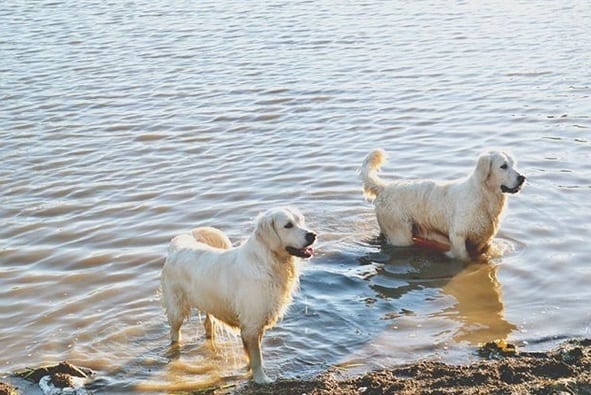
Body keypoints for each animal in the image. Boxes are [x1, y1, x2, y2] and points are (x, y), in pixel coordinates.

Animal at [160, 207, 316, 384]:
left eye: (301, 220)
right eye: (288, 225)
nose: (312, 235)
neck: (268, 262)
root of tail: (177, 244)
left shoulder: (256, 323)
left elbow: (250, 353)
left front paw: (249, 370)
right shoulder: (252, 323)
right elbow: (257, 357)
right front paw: (261, 379)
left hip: (210, 302)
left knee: (208, 324)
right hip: (177, 309)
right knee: (174, 332)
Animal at [360, 150, 528, 262]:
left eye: (514, 164)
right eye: (503, 166)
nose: (522, 178)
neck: (483, 195)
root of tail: (384, 187)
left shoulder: (485, 240)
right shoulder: (458, 236)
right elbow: (464, 258)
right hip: (400, 235)